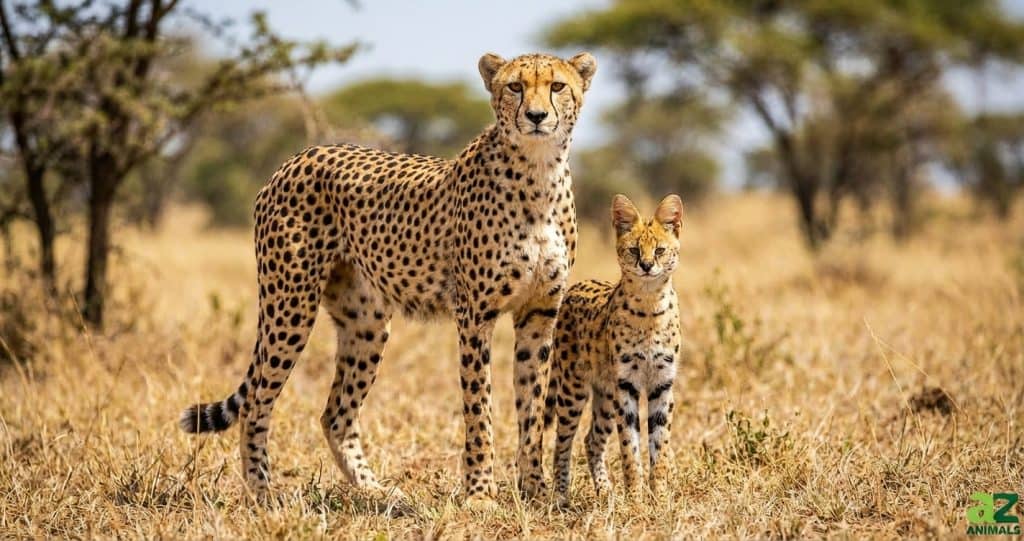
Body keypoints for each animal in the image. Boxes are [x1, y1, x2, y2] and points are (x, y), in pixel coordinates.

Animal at [177, 51, 597, 505]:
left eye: (557, 86)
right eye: (515, 87)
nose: (536, 117)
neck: (539, 172)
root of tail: (298, 156)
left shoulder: (539, 315)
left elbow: (532, 409)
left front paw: (536, 491)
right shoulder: (475, 316)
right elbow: (479, 407)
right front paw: (481, 493)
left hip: (366, 323)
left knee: (335, 414)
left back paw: (376, 491)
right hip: (290, 305)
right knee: (257, 400)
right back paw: (262, 492)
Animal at [544, 193, 684, 504]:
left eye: (659, 250)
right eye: (633, 250)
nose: (646, 265)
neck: (649, 306)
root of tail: (576, 286)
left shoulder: (662, 383)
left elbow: (660, 444)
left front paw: (660, 497)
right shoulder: (627, 385)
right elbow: (629, 448)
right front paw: (636, 501)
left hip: (606, 395)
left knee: (592, 439)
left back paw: (605, 491)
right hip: (574, 389)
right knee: (563, 440)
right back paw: (560, 496)